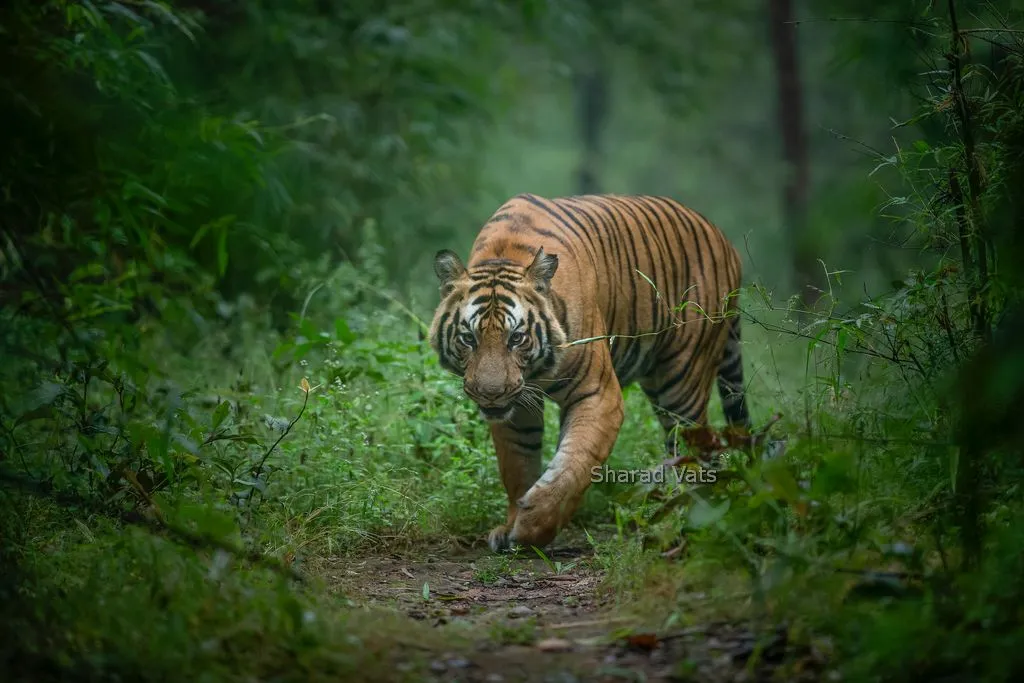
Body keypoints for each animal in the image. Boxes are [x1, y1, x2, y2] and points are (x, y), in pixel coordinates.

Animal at [428, 192, 749, 548]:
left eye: (517, 338)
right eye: (468, 338)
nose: (491, 394)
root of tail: (724, 238)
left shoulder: (597, 394)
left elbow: (574, 464)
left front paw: (532, 528)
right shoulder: (516, 408)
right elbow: (517, 464)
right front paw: (511, 524)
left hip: (682, 383)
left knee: (697, 448)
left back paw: (690, 515)